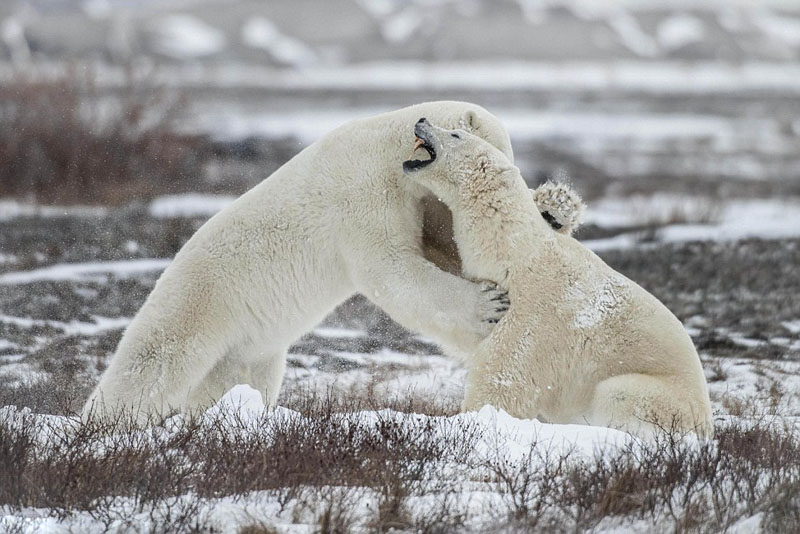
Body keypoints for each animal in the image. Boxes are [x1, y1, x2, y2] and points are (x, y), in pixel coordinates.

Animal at [404, 120, 716, 440]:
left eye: (456, 135)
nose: (422, 121)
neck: (513, 250)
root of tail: (706, 424)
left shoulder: (534, 313)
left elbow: (502, 372)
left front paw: (474, 418)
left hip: (660, 397)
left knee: (617, 395)